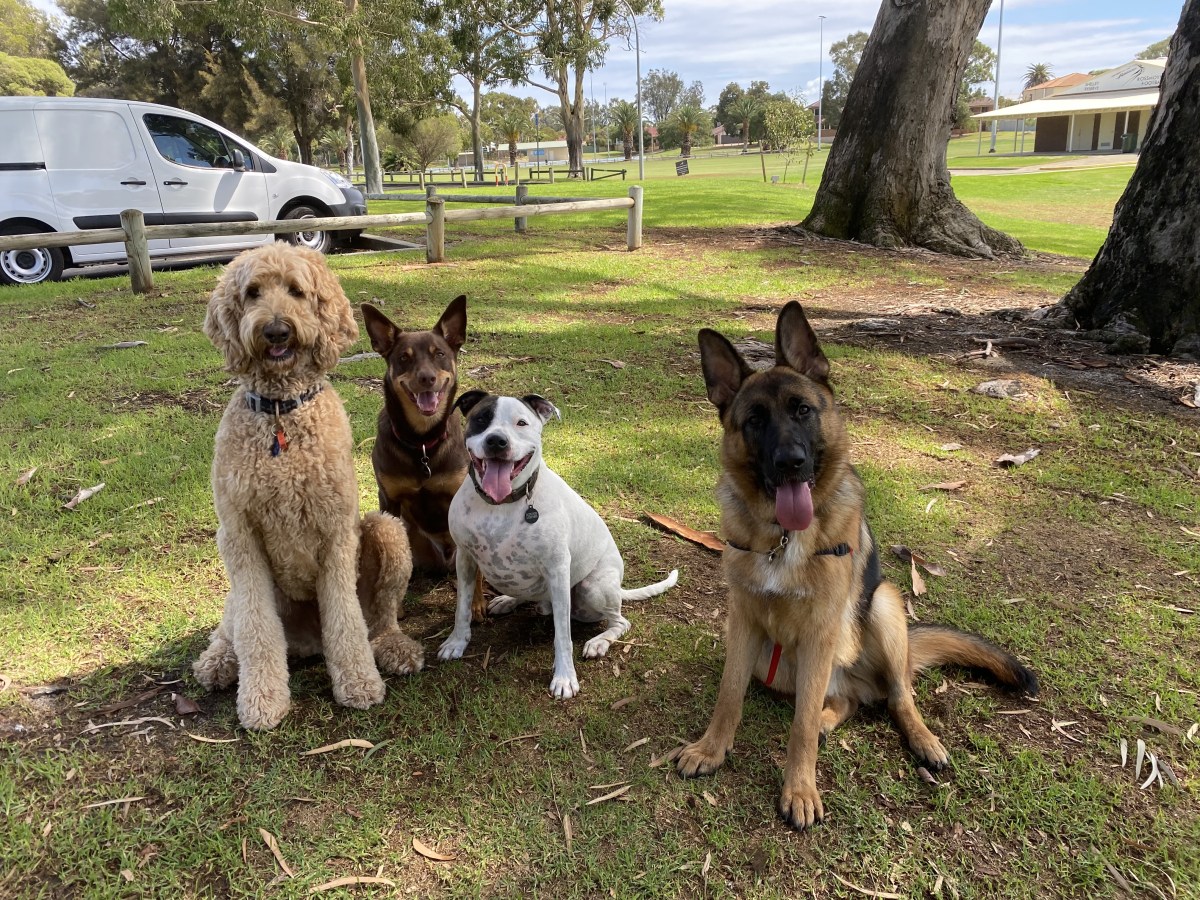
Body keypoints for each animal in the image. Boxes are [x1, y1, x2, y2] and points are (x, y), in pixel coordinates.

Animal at [192, 242, 423, 731]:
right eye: (253, 292)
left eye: (297, 291)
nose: (276, 330)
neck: (282, 411)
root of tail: (306, 644)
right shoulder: (239, 534)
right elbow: (255, 628)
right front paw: (262, 700)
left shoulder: (336, 531)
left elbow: (346, 620)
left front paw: (359, 682)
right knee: (232, 623)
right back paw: (219, 660)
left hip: (388, 531)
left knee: (380, 620)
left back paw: (394, 648)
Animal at [362, 297, 485, 621]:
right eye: (404, 358)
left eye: (439, 354)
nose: (426, 378)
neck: (422, 443)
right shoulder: (389, 500)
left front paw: (477, 603)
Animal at [436, 391, 679, 699]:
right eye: (482, 419)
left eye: (521, 423)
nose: (497, 441)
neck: (501, 504)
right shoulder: (465, 559)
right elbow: (462, 607)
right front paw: (457, 642)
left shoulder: (558, 570)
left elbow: (563, 635)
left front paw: (564, 677)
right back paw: (509, 600)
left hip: (592, 588)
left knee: (620, 622)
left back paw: (599, 642)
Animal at [677, 301, 1038, 829]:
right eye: (755, 420)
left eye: (802, 410)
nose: (790, 462)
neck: (783, 538)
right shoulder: (742, 622)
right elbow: (729, 696)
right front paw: (711, 749)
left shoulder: (821, 631)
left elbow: (801, 726)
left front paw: (800, 789)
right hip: (779, 661)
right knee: (844, 699)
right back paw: (834, 717)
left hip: (884, 606)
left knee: (896, 695)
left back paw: (921, 738)